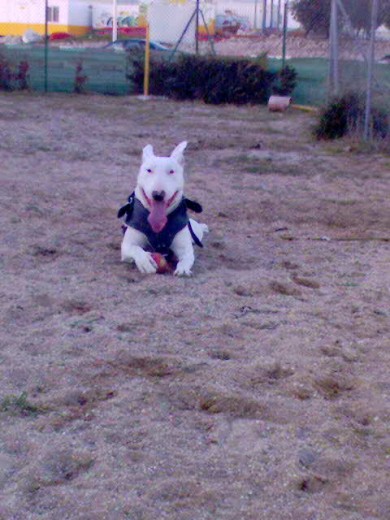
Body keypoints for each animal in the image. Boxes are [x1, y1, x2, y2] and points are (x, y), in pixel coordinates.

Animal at [119, 140, 209, 274]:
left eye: (171, 171)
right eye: (149, 170)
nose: (158, 195)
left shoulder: (185, 248)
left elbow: (187, 257)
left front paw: (183, 269)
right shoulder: (127, 246)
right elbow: (136, 249)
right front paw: (145, 261)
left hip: (195, 232)